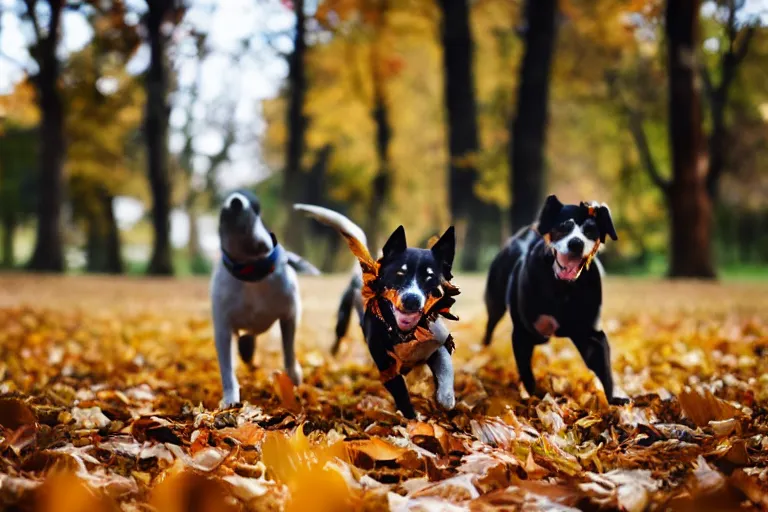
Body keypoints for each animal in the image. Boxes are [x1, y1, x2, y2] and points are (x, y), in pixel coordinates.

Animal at [208, 190, 320, 406]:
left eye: (256, 206)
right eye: (225, 204)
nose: (236, 201)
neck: (252, 270)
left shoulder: (289, 315)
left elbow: (288, 349)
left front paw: (293, 376)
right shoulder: (223, 329)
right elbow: (227, 368)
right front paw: (230, 398)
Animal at [296, 204, 460, 420]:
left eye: (430, 277)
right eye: (399, 273)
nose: (411, 299)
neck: (404, 334)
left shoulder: (435, 345)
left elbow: (445, 368)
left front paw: (445, 398)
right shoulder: (384, 362)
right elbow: (399, 390)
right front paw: (411, 418)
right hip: (343, 316)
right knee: (338, 336)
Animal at [486, 194, 632, 406]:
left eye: (591, 230)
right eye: (564, 226)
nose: (576, 243)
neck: (564, 288)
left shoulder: (591, 335)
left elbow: (604, 368)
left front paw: (614, 399)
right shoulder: (523, 332)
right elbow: (526, 372)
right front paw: (533, 398)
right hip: (495, 302)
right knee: (490, 325)